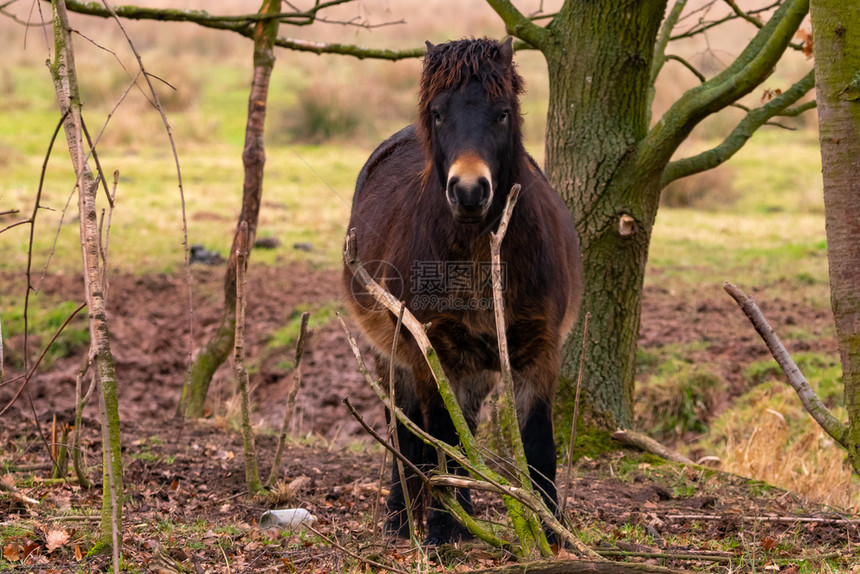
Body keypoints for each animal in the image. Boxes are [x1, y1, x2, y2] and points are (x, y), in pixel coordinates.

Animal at [342, 38, 584, 548]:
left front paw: (552, 532)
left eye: (503, 113)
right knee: (407, 431)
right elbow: (439, 439)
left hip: (476, 367)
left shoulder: (539, 352)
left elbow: (536, 443)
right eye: (438, 113)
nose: (470, 191)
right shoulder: (429, 352)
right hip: (397, 358)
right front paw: (439, 529)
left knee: (463, 427)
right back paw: (402, 520)